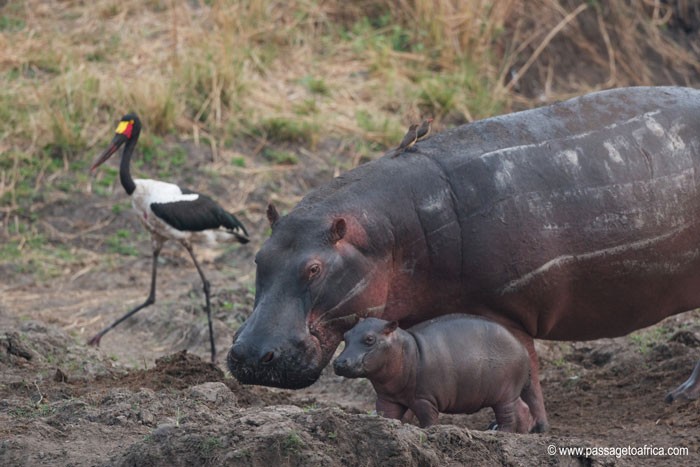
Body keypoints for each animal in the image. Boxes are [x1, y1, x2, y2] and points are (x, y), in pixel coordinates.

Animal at [332, 314, 532, 432]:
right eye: (346, 335)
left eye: (370, 339)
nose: (339, 362)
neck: (404, 350)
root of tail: (523, 348)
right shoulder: (387, 398)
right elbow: (386, 415)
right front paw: (386, 427)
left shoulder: (424, 399)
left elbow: (428, 419)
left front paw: (430, 432)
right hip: (510, 393)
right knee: (522, 408)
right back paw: (520, 435)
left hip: (504, 394)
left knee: (508, 414)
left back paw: (501, 432)